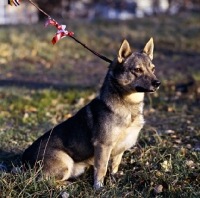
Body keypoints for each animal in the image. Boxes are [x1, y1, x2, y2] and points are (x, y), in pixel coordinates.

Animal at [21, 38, 160, 189]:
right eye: (137, 70)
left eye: (153, 69)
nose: (157, 83)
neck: (128, 105)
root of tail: (24, 160)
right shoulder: (103, 146)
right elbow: (101, 169)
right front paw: (99, 188)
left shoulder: (120, 149)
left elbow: (114, 167)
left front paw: (113, 181)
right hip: (65, 161)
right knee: (44, 180)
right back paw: (67, 184)